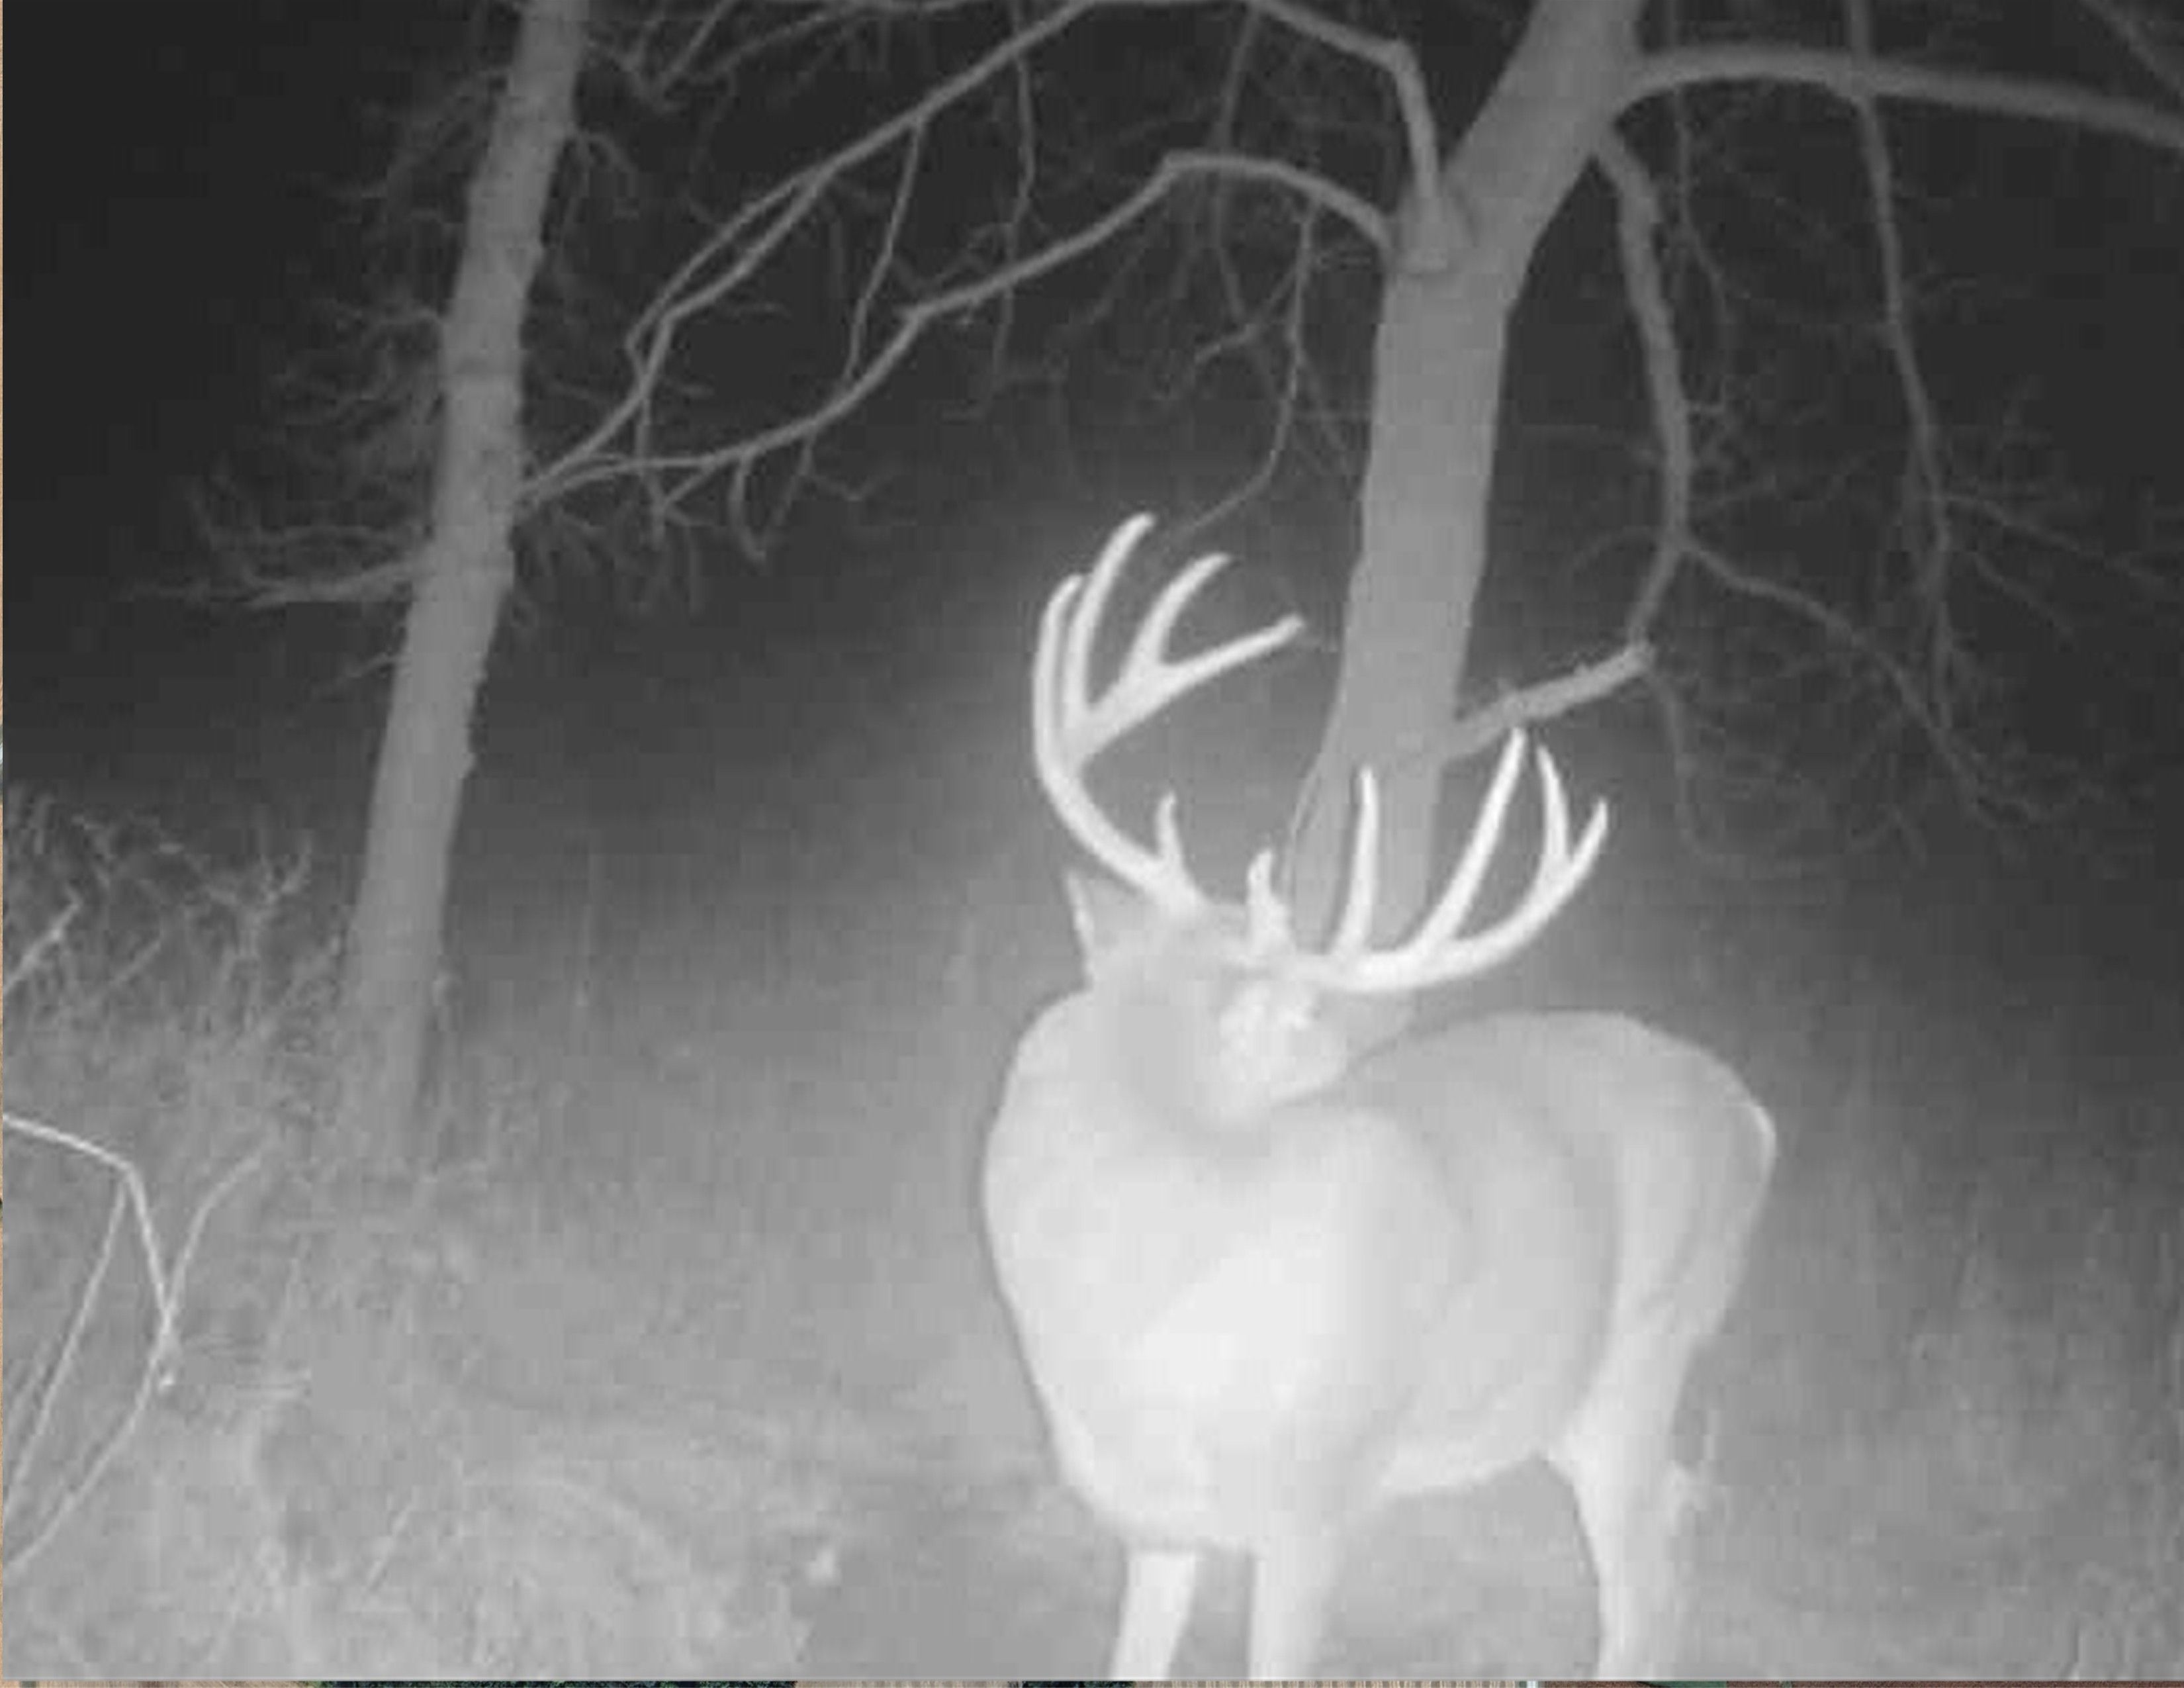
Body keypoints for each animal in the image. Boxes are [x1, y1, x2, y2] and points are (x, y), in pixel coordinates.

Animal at [980, 514, 1776, 1678]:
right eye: (1316, 1036)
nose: (1370, 1041)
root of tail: (1757, 1120)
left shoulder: (1319, 1501)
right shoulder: (1152, 1515)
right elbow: (1131, 1659)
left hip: (1639, 1359)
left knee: (1642, 1600)